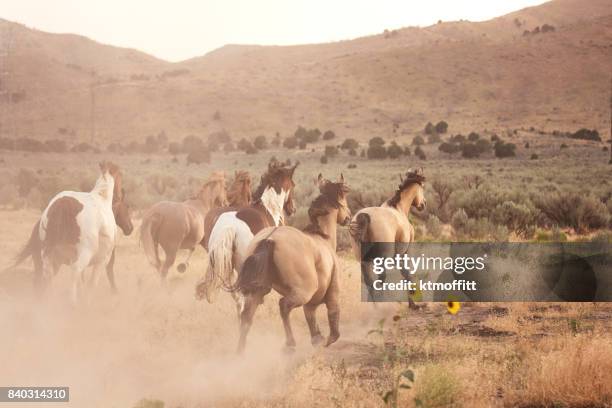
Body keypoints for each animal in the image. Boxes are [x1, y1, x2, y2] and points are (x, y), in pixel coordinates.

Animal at [10, 161, 135, 302]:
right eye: (127, 206)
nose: (130, 228)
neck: (102, 198)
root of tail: (62, 204)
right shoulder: (104, 259)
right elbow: (95, 281)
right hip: (81, 255)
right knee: (74, 272)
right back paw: (72, 302)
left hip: (49, 257)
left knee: (46, 277)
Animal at [196, 159, 298, 312]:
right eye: (293, 185)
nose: (292, 209)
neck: (269, 209)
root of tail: (230, 227)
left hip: (225, 263)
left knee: (234, 291)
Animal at [233, 174, 352, 352]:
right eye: (343, 196)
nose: (348, 217)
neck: (323, 237)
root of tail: (269, 239)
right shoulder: (332, 294)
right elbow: (333, 323)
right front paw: (325, 340)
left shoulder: (311, 304)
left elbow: (311, 319)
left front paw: (317, 338)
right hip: (302, 292)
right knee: (283, 306)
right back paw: (290, 344)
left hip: (258, 291)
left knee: (247, 316)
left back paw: (241, 351)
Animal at [346, 167, 428, 304]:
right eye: (422, 187)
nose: (423, 204)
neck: (398, 208)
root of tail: (364, 216)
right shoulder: (405, 252)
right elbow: (407, 274)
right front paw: (413, 303)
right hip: (382, 261)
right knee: (380, 281)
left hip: (364, 262)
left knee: (370, 283)